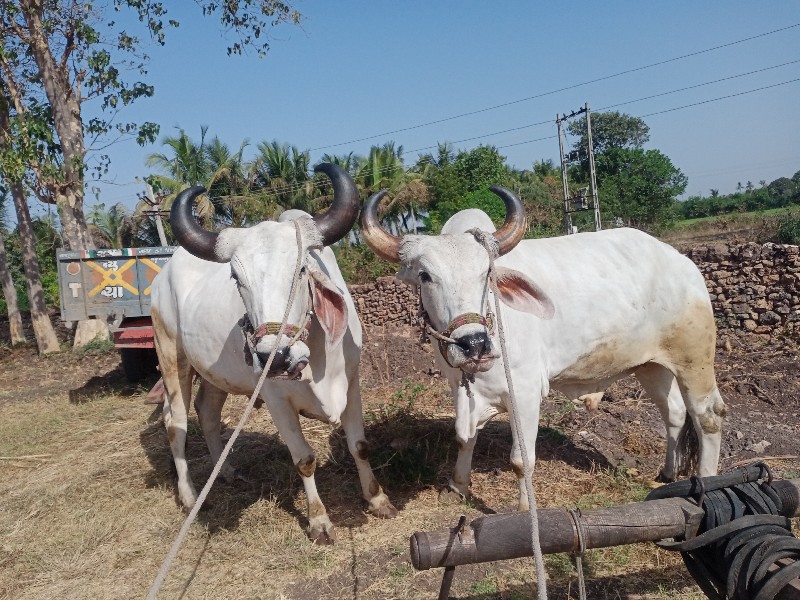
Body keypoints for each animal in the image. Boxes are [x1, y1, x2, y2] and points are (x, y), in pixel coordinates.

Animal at [151, 165, 396, 544]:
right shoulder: (275, 399)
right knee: (175, 423)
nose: (275, 358)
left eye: (301, 269)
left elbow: (359, 445)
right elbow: (304, 459)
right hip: (171, 360)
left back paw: (227, 472)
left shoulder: (352, 382)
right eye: (236, 277)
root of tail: (162, 278)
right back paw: (190, 496)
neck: (316, 360)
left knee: (207, 412)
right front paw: (319, 521)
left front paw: (377, 499)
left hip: (214, 374)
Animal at [360, 189, 724, 510]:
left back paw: (707, 482)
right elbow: (465, 438)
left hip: (694, 360)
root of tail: (682, 263)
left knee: (708, 416)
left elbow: (521, 460)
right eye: (425, 276)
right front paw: (457, 486)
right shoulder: (459, 386)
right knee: (674, 412)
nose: (473, 344)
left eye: (486, 274)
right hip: (651, 365)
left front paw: (524, 508)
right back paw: (667, 473)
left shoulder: (524, 392)